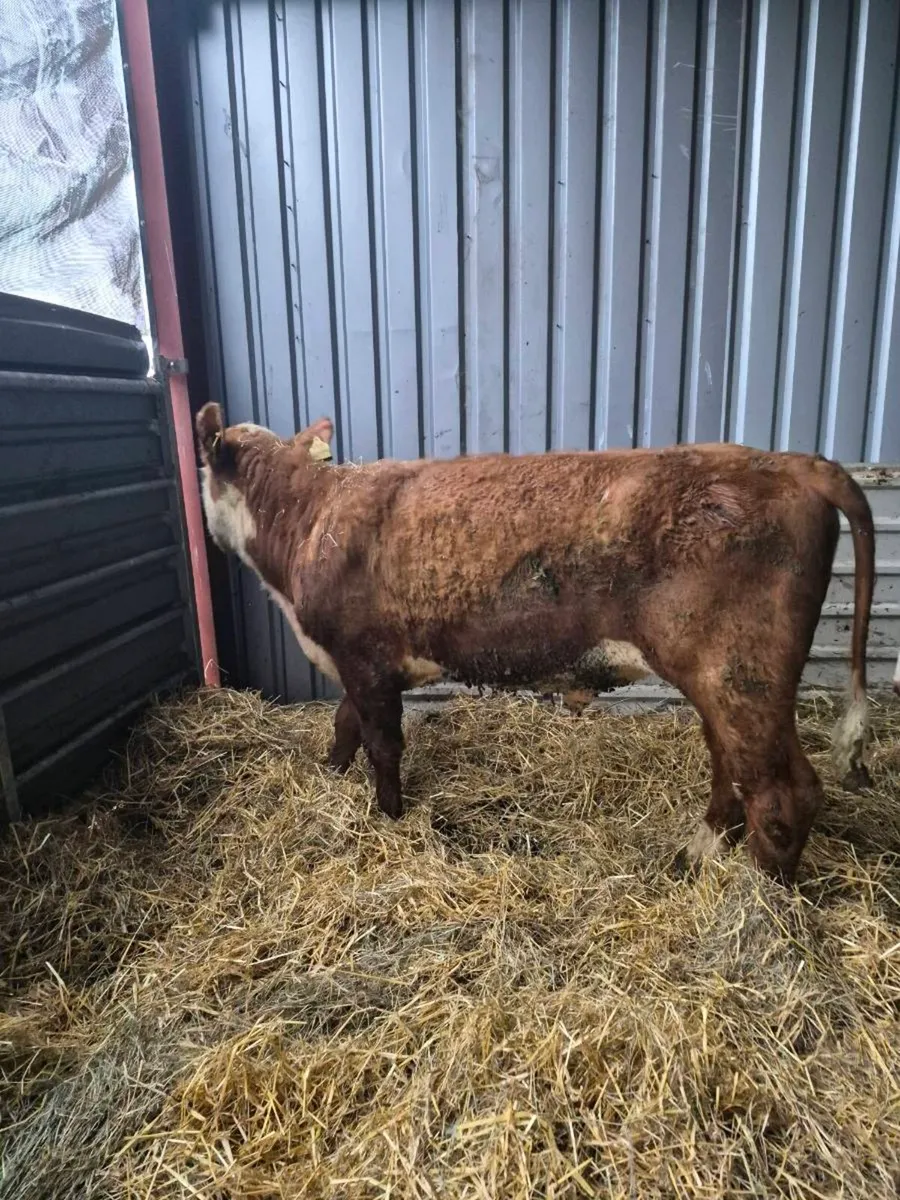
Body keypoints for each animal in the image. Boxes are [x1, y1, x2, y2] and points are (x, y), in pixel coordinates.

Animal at [195, 403, 875, 884]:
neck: (308, 519)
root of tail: (789, 460)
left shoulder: (365, 655)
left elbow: (383, 746)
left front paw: (389, 817)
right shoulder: (357, 662)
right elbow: (344, 726)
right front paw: (331, 776)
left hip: (741, 671)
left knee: (780, 793)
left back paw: (761, 908)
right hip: (721, 680)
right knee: (731, 768)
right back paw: (696, 855)